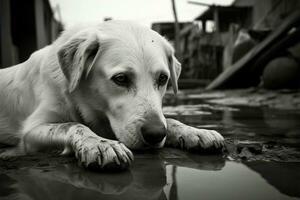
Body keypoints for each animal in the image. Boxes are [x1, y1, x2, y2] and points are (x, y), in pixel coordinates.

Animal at [0, 20, 225, 169]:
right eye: (121, 78)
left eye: (163, 78)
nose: (155, 134)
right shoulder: (30, 134)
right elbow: (73, 125)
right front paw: (99, 144)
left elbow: (169, 120)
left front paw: (195, 132)